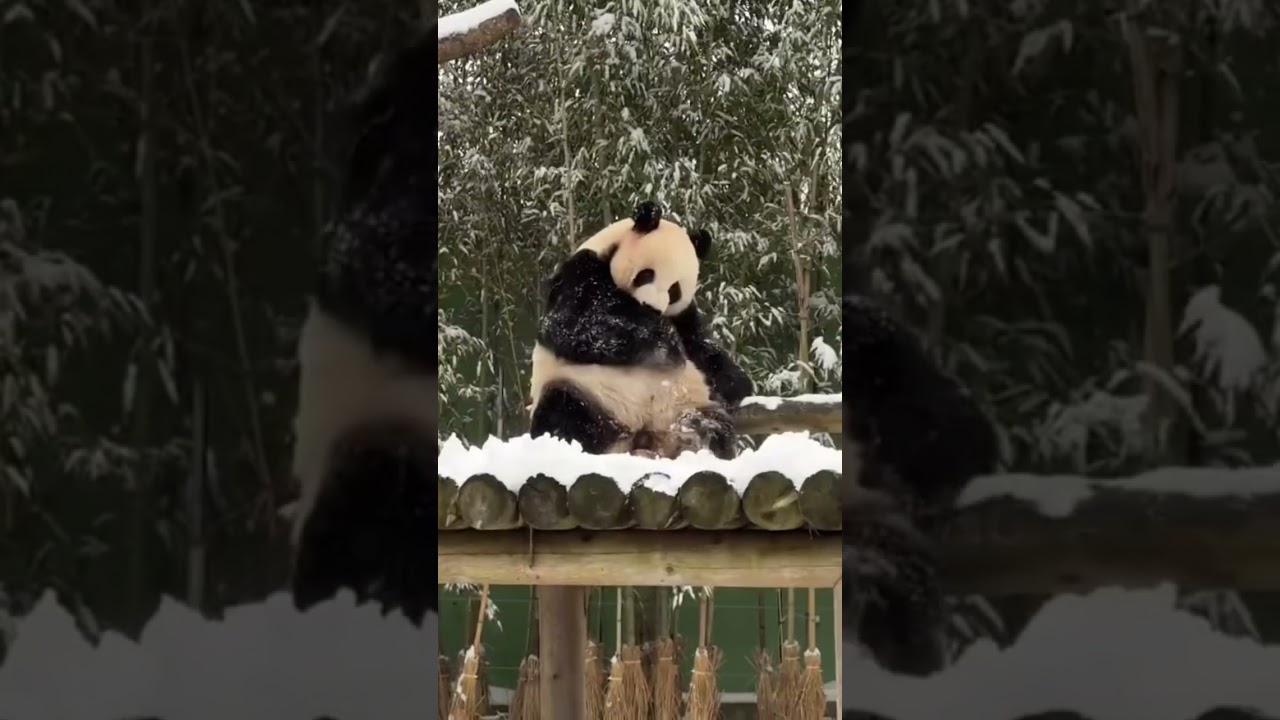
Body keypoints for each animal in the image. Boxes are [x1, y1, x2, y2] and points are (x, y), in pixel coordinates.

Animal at [528, 201, 754, 460]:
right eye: (647, 275)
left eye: (674, 290)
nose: (652, 308)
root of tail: (641, 436)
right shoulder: (580, 274)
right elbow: (576, 324)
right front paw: (668, 342)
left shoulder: (682, 313)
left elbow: (701, 344)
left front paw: (736, 383)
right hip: (586, 390)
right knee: (565, 412)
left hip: (690, 402)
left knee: (717, 424)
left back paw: (698, 433)